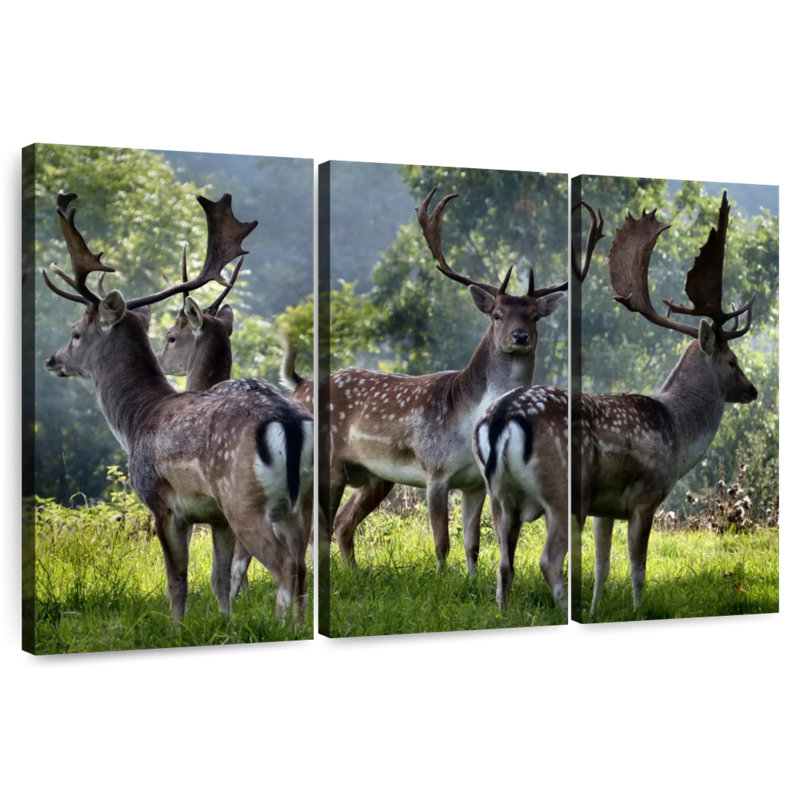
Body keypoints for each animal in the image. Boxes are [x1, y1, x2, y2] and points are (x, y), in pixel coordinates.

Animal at [43, 191, 314, 623]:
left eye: (76, 333)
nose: (53, 360)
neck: (137, 419)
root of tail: (288, 421)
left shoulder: (162, 503)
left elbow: (178, 580)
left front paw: (177, 628)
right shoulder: (215, 518)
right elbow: (218, 579)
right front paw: (226, 625)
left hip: (244, 500)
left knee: (285, 566)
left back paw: (281, 624)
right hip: (301, 501)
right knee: (303, 566)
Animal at [321, 188, 566, 574]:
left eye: (534, 316)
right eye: (497, 314)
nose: (520, 336)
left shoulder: (476, 483)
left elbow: (473, 543)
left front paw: (472, 580)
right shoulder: (434, 472)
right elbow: (441, 542)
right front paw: (439, 578)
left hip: (375, 476)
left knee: (342, 522)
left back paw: (353, 572)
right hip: (328, 463)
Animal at [472, 203, 605, 613]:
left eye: (534, 316)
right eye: (497, 314)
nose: (520, 336)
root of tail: (500, 420)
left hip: (497, 492)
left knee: (503, 560)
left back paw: (502, 610)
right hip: (557, 488)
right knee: (548, 558)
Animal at [577, 191, 757, 614]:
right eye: (733, 361)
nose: (753, 390)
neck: (678, 431)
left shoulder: (603, 510)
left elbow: (601, 567)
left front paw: (592, 612)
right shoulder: (645, 497)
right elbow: (637, 568)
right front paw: (637, 611)